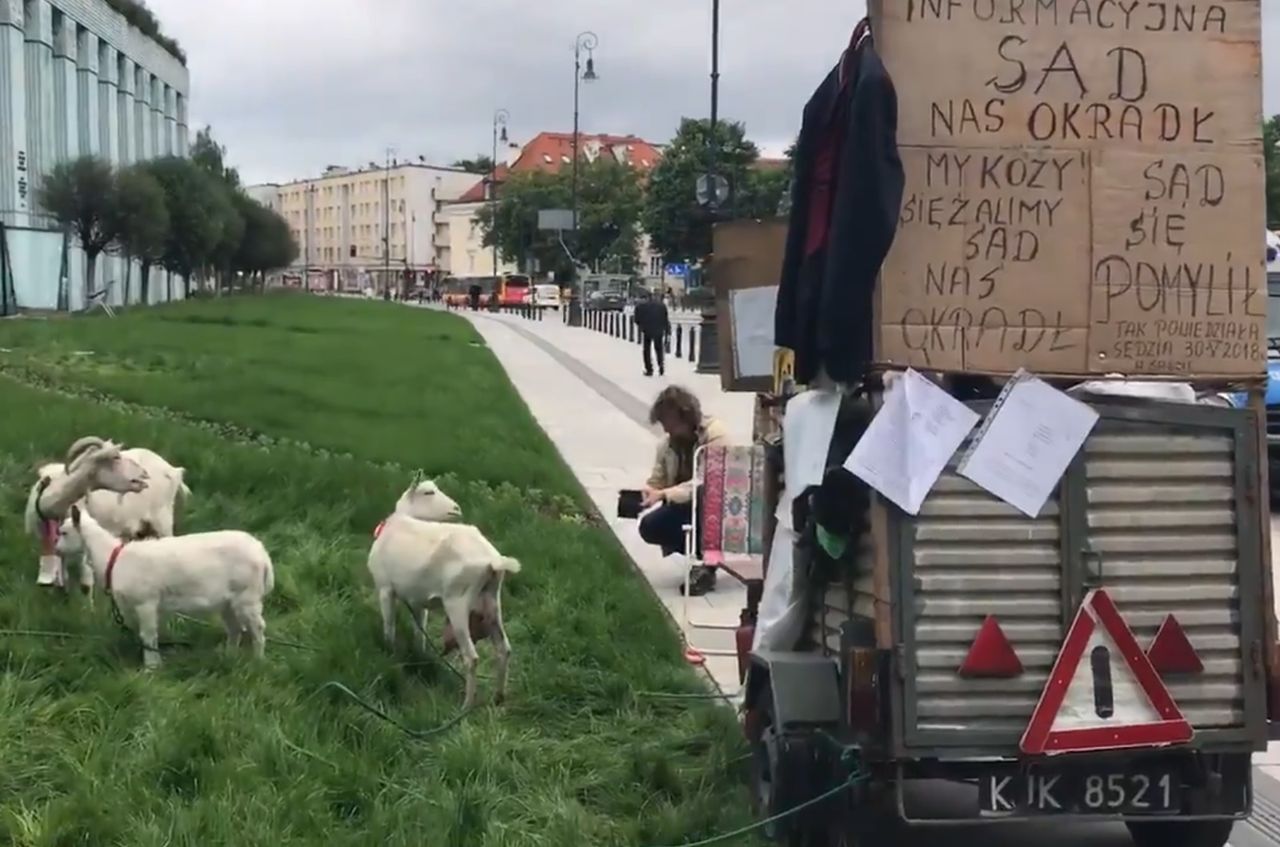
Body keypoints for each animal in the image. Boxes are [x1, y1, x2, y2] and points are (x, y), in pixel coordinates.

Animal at [56, 504, 275, 670]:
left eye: (64, 532)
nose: (57, 550)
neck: (112, 558)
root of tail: (262, 554)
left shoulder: (145, 602)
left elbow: (147, 635)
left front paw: (151, 667)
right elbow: (150, 635)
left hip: (247, 595)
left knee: (258, 628)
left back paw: (258, 661)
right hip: (228, 600)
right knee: (235, 628)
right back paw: (229, 657)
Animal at [368, 483, 517, 711]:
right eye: (428, 492)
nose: (456, 509)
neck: (399, 521)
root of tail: (493, 562)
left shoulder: (385, 588)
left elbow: (389, 625)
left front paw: (388, 651)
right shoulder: (417, 600)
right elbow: (419, 629)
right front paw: (419, 654)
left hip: (458, 602)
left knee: (472, 657)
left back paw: (466, 705)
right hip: (492, 602)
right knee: (504, 649)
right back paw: (498, 697)